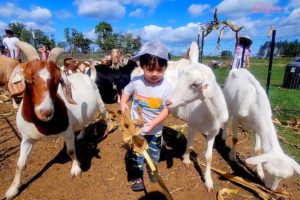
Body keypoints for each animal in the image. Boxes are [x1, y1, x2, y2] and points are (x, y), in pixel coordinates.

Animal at [5, 41, 108, 199]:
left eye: (58, 79)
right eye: (28, 79)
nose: (45, 112)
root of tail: (88, 77)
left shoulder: (67, 133)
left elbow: (71, 151)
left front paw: (76, 169)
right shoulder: (27, 138)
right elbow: (20, 164)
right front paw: (13, 189)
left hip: (100, 104)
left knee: (105, 115)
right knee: (84, 123)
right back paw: (81, 135)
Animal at [166, 41, 227, 190]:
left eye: (196, 84)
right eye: (179, 76)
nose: (168, 102)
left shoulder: (214, 132)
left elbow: (209, 156)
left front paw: (209, 181)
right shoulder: (192, 124)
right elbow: (190, 144)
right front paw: (186, 160)